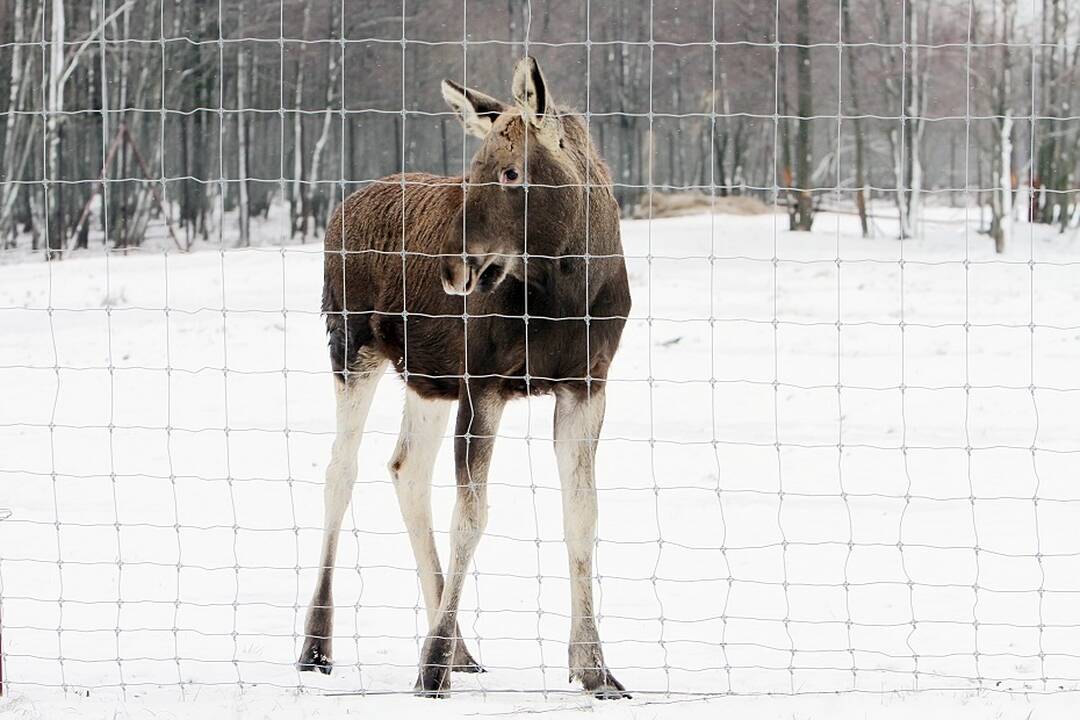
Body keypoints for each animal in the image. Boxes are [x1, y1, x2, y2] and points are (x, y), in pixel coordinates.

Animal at [298, 55, 630, 699]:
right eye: (469, 172)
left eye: (510, 172)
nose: (454, 270)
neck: (565, 290)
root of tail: (341, 208)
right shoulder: (484, 382)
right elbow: (472, 518)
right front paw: (429, 671)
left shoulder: (587, 384)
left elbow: (583, 517)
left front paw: (597, 669)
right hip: (350, 343)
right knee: (338, 471)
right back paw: (318, 645)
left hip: (426, 379)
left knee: (404, 468)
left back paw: (460, 649)